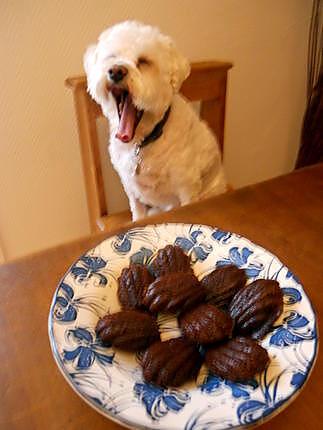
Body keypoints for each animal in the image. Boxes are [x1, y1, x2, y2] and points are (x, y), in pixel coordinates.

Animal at [83, 21, 227, 220]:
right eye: (112, 57)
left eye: (144, 61)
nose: (116, 71)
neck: (143, 142)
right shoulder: (130, 188)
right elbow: (137, 213)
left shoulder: (187, 187)